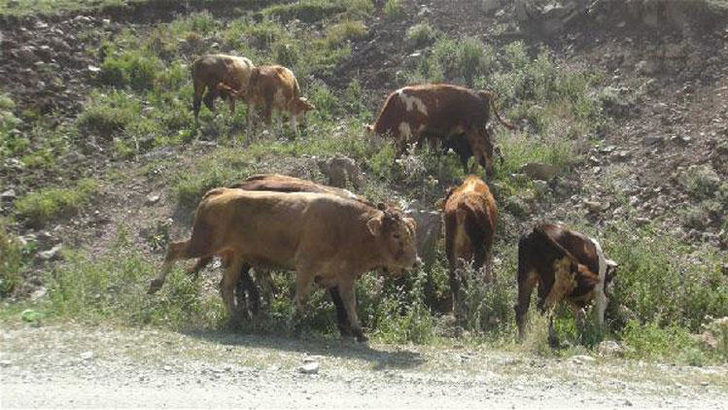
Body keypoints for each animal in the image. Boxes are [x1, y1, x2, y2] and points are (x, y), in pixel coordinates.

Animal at [148, 187, 418, 342]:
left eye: (410, 233)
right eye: (396, 235)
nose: (415, 262)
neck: (351, 226)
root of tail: (218, 193)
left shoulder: (344, 274)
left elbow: (349, 302)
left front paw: (359, 333)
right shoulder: (307, 266)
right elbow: (302, 297)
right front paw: (293, 326)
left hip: (236, 257)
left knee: (226, 287)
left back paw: (239, 320)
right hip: (203, 243)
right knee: (174, 249)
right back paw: (155, 284)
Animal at [366, 83, 516, 178]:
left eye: (372, 141)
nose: (370, 156)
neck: (399, 106)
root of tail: (482, 93)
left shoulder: (415, 131)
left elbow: (409, 150)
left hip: (476, 128)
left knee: (488, 148)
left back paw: (488, 173)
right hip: (471, 131)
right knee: (478, 150)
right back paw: (472, 173)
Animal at [440, 174, 498, 318]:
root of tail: (461, 208)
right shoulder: (489, 241)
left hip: (450, 247)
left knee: (454, 277)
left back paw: (457, 309)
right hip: (479, 247)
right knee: (474, 273)